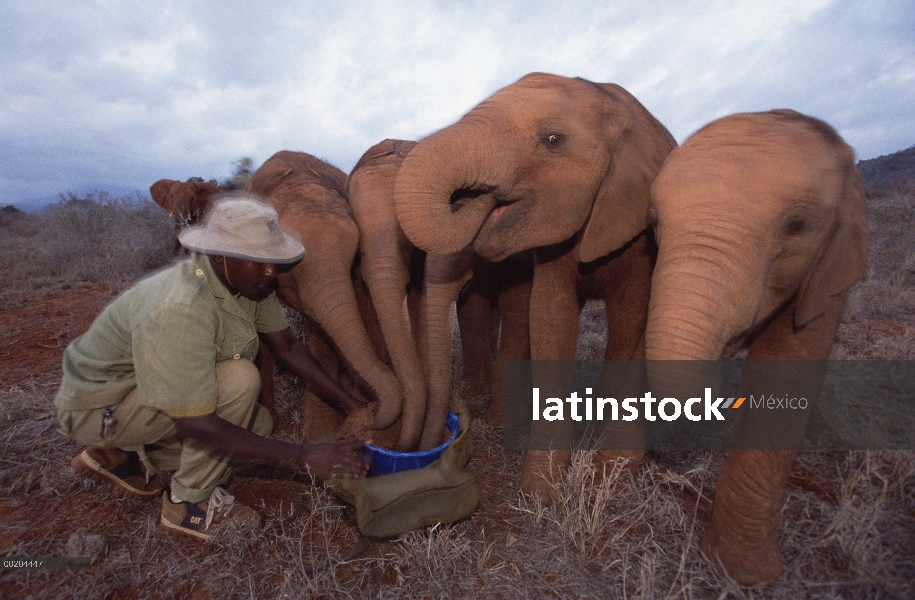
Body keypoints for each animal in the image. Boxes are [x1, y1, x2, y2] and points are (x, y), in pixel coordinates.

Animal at [398, 72, 676, 492]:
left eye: (553, 139)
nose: (479, 197)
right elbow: (547, 315)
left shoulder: (638, 232)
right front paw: (541, 493)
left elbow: (629, 316)